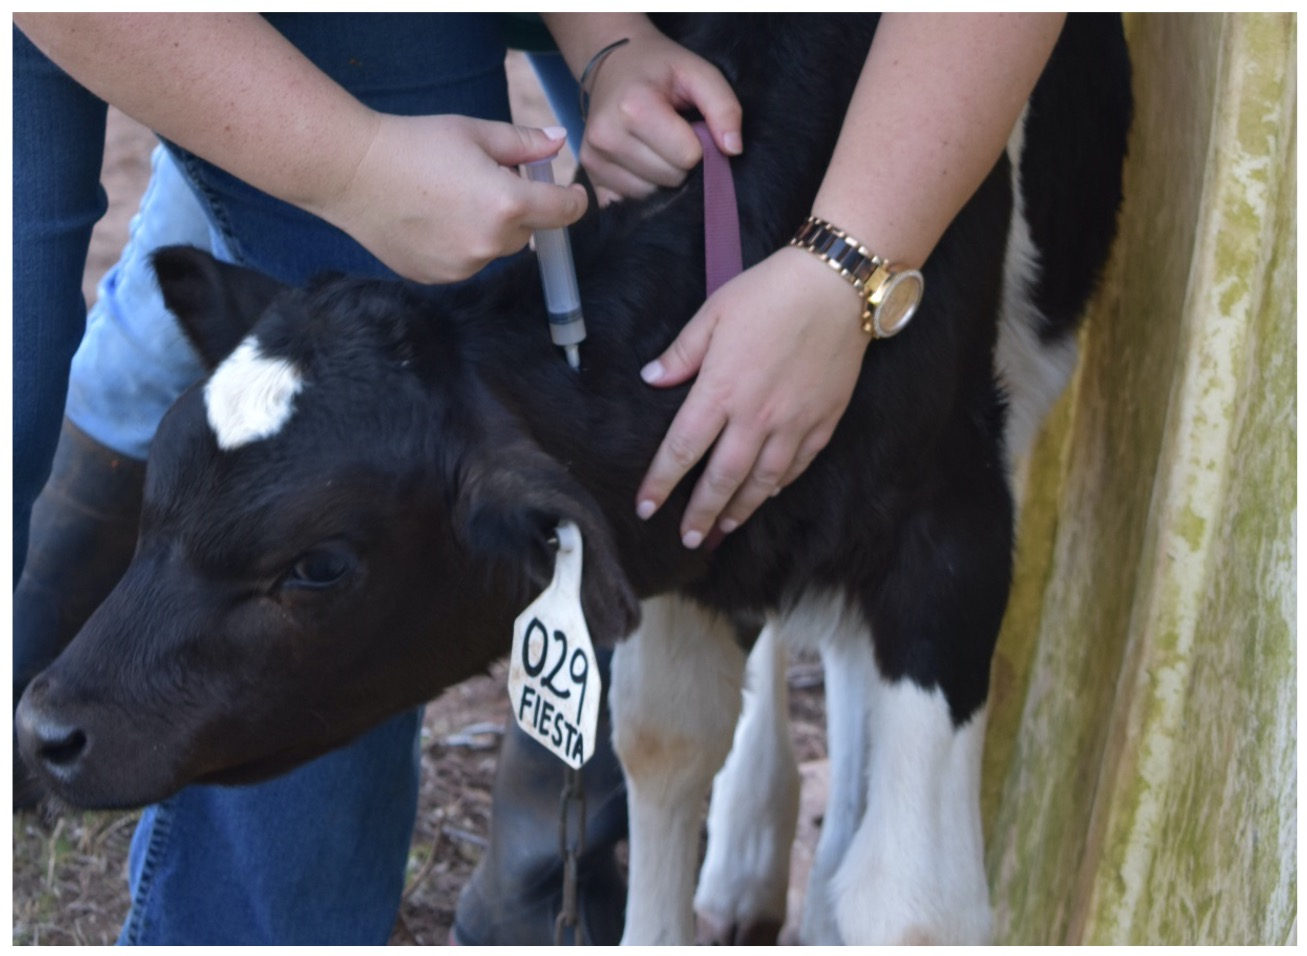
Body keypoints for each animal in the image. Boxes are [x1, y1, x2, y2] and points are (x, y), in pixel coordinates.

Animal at [15, 13, 1132, 944]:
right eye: (157, 498)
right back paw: (749, 860)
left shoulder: (952, 522)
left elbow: (911, 900)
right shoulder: (675, 518)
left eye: (319, 565)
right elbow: (665, 740)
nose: (45, 729)